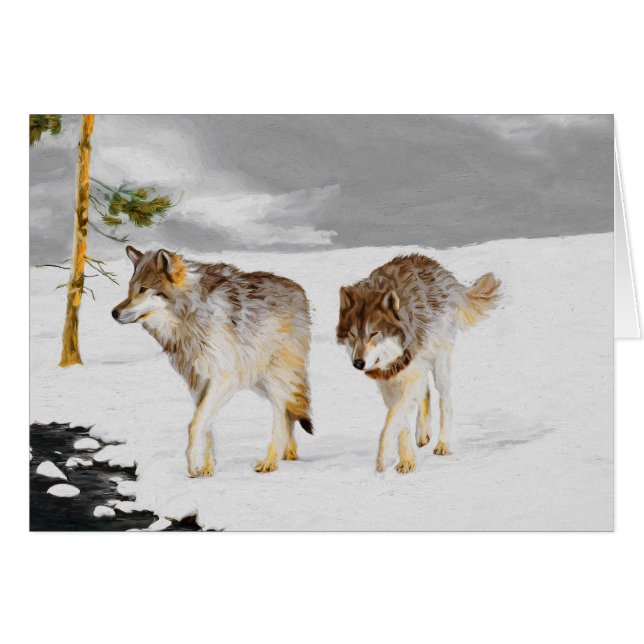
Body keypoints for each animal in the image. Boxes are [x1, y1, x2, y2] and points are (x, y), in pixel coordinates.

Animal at [112, 246, 313, 477]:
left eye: (143, 289)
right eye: (129, 290)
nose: (114, 313)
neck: (190, 315)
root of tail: (299, 290)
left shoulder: (224, 379)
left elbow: (195, 424)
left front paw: (194, 466)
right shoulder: (199, 382)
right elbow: (205, 426)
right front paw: (206, 468)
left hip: (273, 376)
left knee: (281, 413)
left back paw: (270, 461)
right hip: (257, 380)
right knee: (290, 411)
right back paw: (289, 453)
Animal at [336, 254, 501, 473]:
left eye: (374, 333)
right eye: (353, 335)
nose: (358, 363)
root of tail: (438, 268)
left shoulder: (410, 378)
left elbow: (392, 419)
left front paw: (384, 458)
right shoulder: (387, 385)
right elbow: (400, 421)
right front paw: (407, 460)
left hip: (440, 364)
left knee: (445, 401)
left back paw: (443, 444)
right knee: (427, 391)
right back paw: (423, 434)